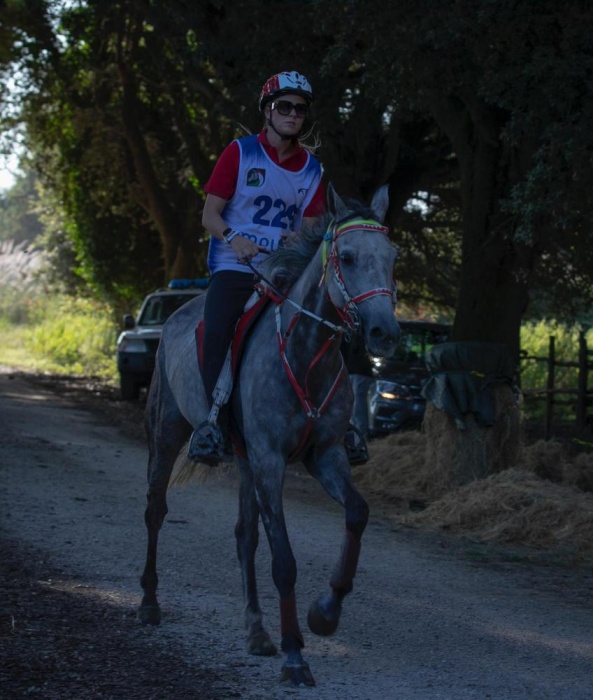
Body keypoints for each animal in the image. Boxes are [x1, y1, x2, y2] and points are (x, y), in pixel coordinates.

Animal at [138, 183, 398, 688]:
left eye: (392, 256)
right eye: (349, 256)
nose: (385, 332)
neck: (305, 355)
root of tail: (176, 315)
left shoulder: (325, 456)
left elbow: (356, 513)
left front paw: (324, 613)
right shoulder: (270, 461)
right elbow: (283, 560)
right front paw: (295, 655)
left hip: (243, 461)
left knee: (244, 536)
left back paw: (257, 632)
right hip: (168, 434)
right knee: (156, 511)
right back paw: (149, 603)